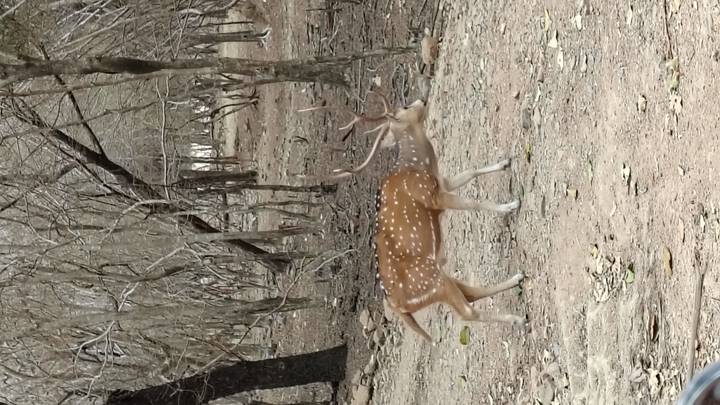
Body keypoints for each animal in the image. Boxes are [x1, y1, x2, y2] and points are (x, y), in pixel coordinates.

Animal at [301, 92, 526, 342]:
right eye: (406, 107)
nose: (422, 100)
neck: (419, 165)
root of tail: (398, 307)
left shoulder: (441, 182)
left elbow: (471, 172)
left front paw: (504, 162)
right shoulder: (432, 196)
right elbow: (473, 203)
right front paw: (510, 206)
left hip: (437, 279)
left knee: (470, 294)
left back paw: (518, 278)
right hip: (430, 281)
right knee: (467, 312)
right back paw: (517, 318)